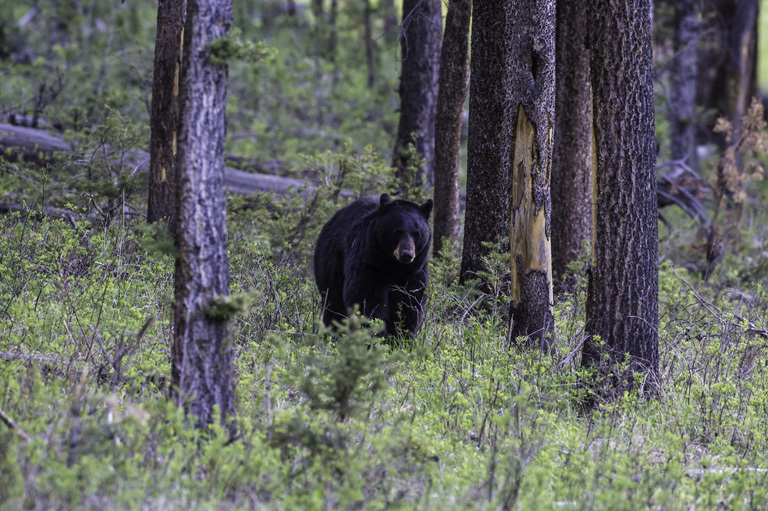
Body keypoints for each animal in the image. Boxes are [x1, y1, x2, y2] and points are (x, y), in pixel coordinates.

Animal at [312, 194, 432, 338]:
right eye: (397, 232)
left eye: (416, 234)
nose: (406, 254)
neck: (394, 266)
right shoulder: (368, 262)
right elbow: (366, 298)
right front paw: (375, 336)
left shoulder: (414, 272)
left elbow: (409, 303)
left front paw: (400, 337)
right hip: (329, 267)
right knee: (333, 305)